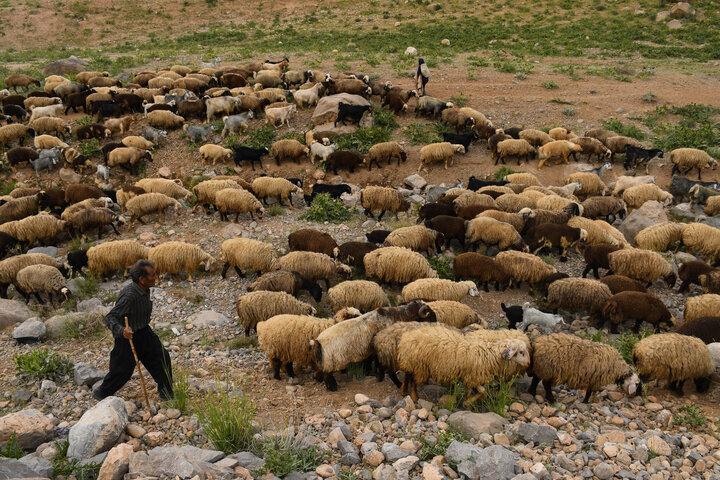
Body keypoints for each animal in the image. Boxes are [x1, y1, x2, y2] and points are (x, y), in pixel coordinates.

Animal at [396, 328, 532, 404]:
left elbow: (471, 390)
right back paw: (414, 397)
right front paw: (468, 402)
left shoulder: (469, 377)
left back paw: (403, 390)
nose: (528, 363)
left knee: (407, 375)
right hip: (420, 366)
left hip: (412, 363)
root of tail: (405, 338)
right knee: (413, 380)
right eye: (521, 352)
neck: (489, 354)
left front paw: (469, 402)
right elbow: (483, 391)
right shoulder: (473, 376)